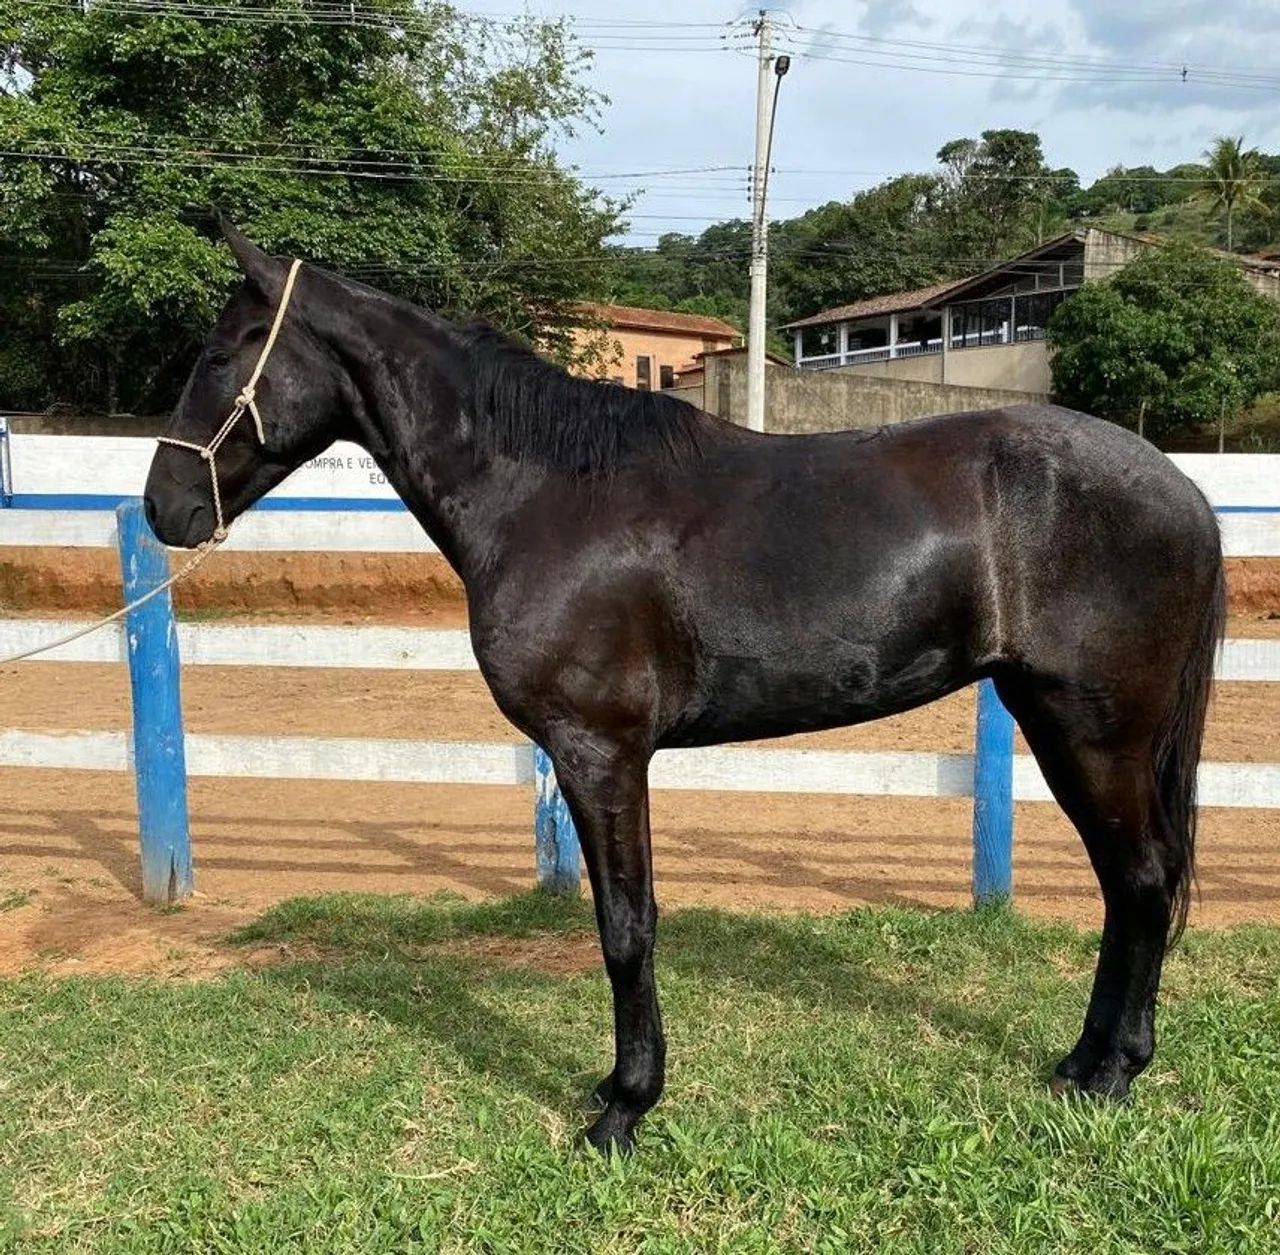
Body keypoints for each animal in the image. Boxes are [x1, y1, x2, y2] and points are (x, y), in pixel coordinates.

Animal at [144, 223, 1225, 1155]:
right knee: (1127, 887)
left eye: (224, 353)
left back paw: (1111, 1074)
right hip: (1061, 724)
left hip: (1093, 730)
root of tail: (1182, 491)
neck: (546, 493)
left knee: (1139, 882)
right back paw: (1083, 1061)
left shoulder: (600, 752)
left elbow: (626, 926)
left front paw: (624, 1108)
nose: (165, 507)